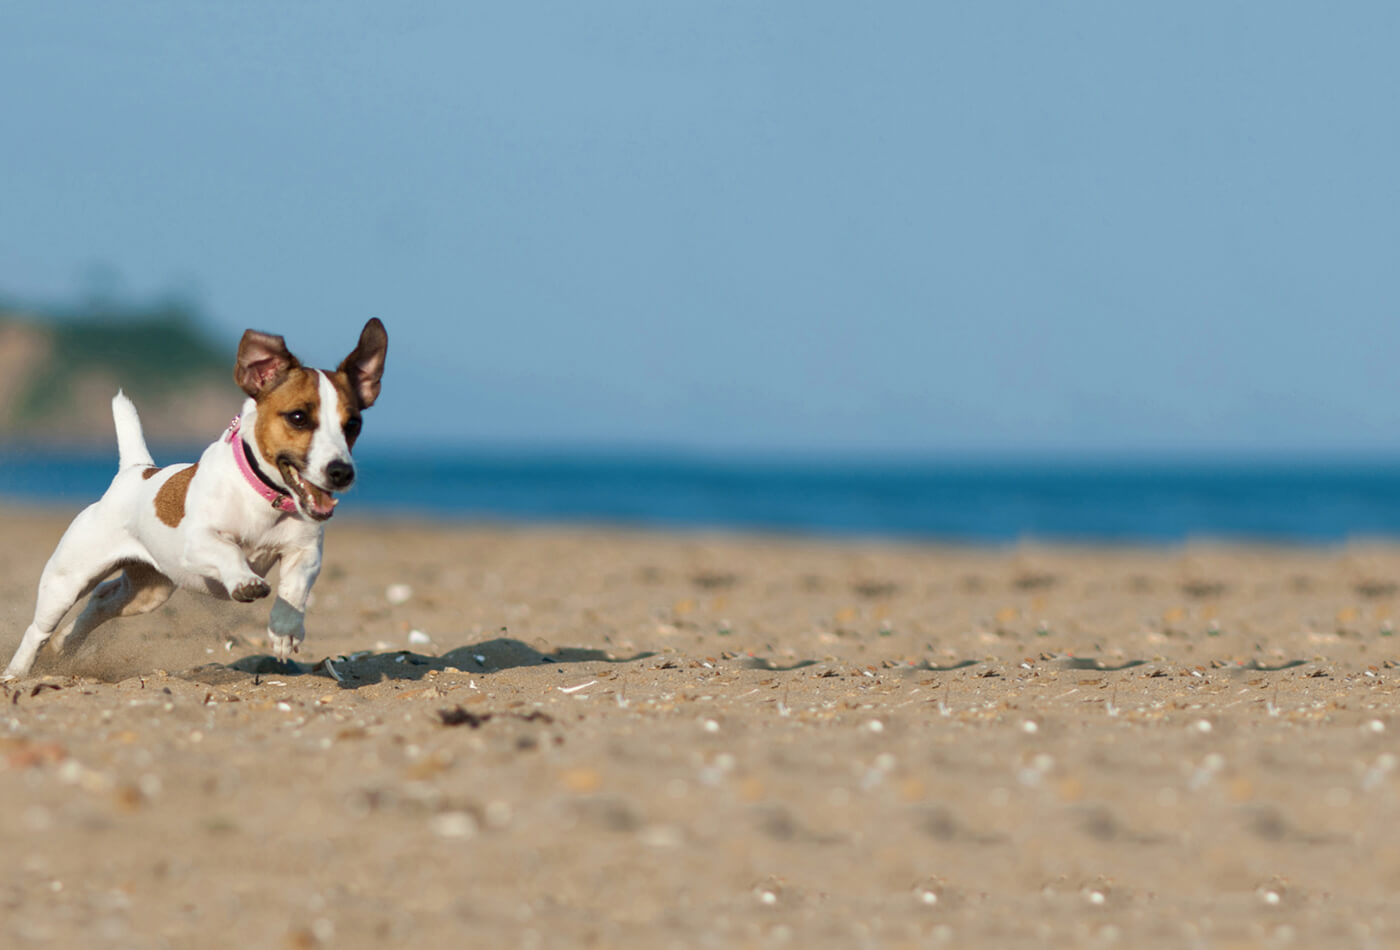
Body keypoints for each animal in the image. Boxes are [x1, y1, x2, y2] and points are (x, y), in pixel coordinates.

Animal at [2, 323, 389, 679]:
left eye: (353, 424)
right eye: (298, 417)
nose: (341, 472)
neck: (262, 495)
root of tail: (135, 471)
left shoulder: (304, 552)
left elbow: (294, 591)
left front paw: (285, 631)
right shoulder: (199, 541)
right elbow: (230, 552)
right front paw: (245, 581)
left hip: (150, 590)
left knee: (102, 598)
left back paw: (66, 642)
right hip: (67, 579)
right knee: (40, 628)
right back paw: (17, 672)